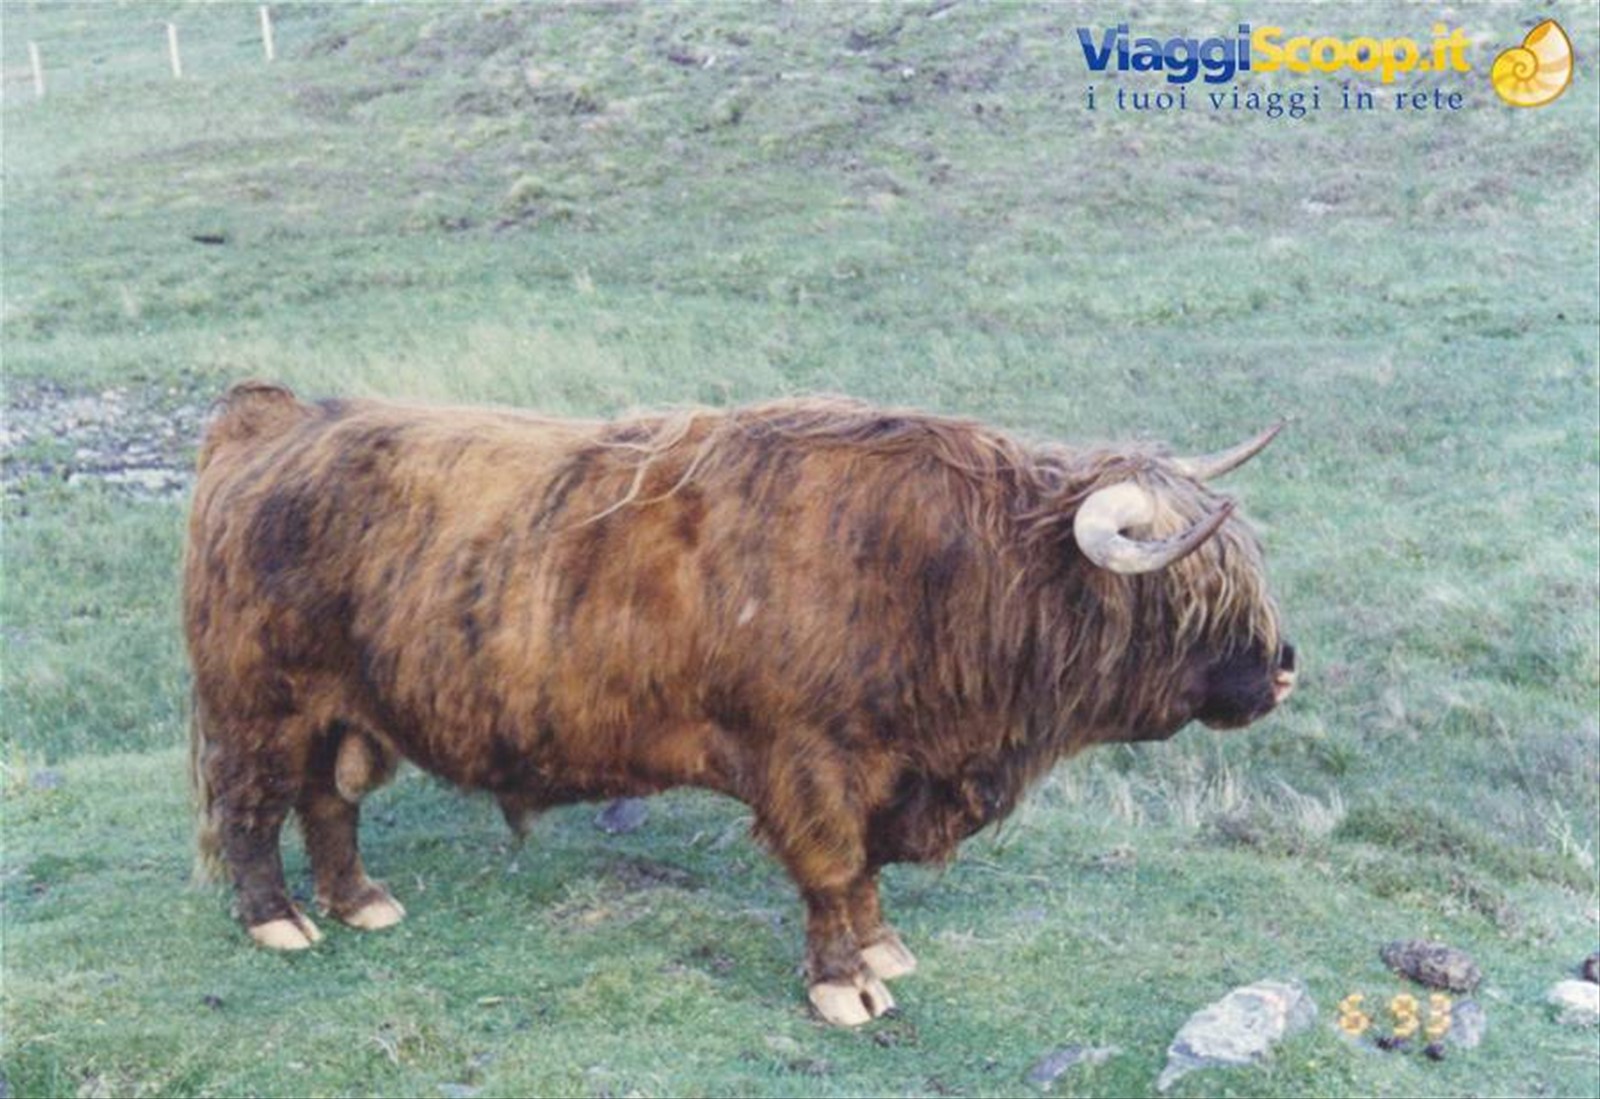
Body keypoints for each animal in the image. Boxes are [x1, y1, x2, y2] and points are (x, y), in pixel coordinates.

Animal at [185, 383, 1296, 1026]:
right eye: (1191, 590)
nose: (1283, 668)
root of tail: (272, 416)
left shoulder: (882, 768)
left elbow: (865, 874)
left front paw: (883, 946)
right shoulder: (809, 759)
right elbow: (835, 867)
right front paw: (846, 984)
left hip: (343, 714)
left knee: (330, 802)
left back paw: (360, 900)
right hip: (260, 706)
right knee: (251, 810)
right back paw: (279, 921)